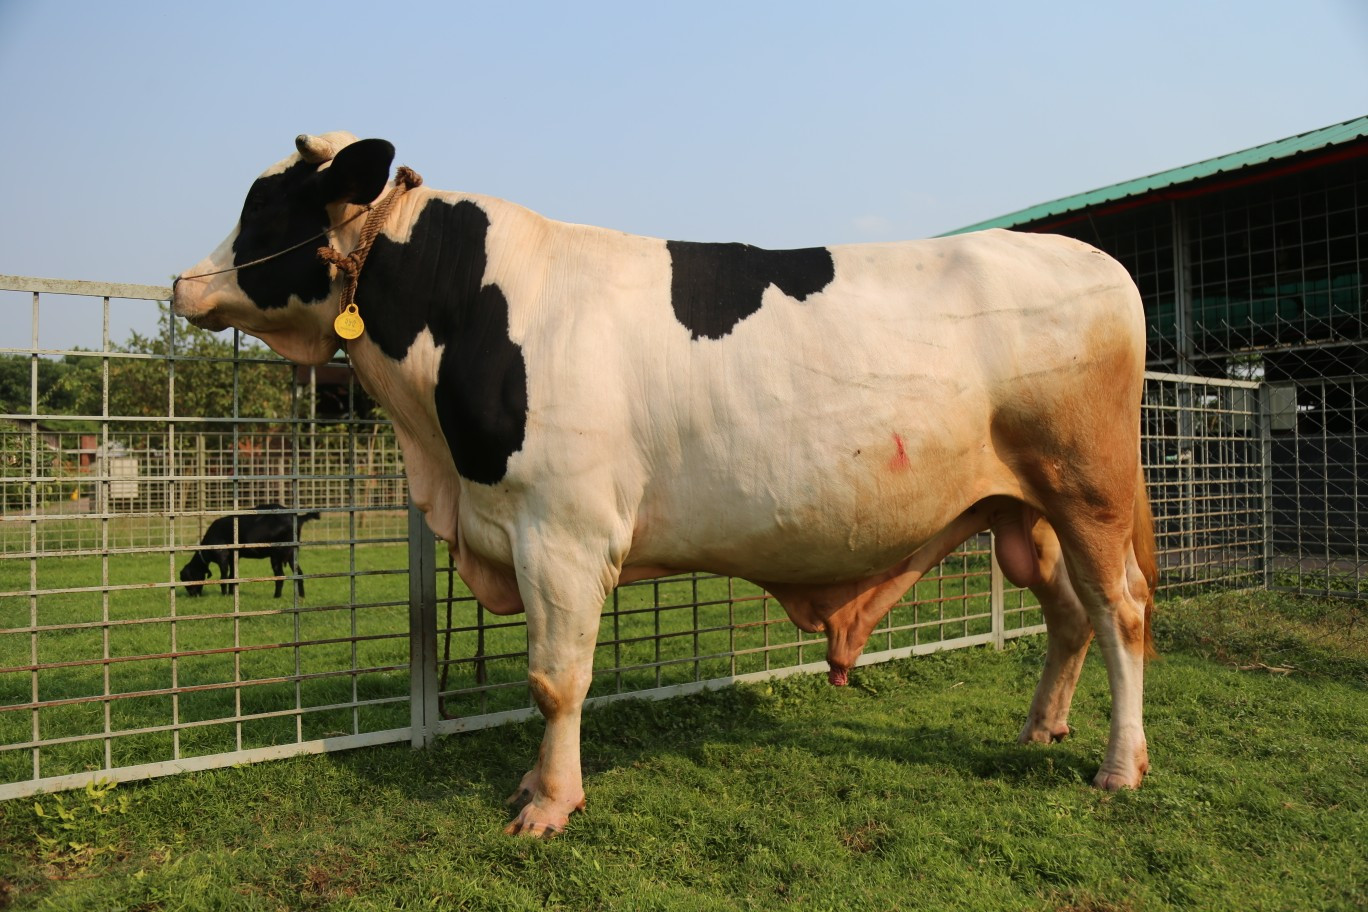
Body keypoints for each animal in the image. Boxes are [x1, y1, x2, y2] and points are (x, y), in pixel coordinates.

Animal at [180, 503, 320, 598]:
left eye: (187, 579)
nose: (192, 595)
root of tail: (297, 518)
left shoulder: (222, 556)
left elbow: (224, 577)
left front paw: (224, 594)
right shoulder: (233, 558)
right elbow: (232, 576)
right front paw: (231, 594)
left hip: (277, 554)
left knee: (280, 575)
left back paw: (276, 596)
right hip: (292, 554)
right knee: (299, 573)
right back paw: (301, 597)